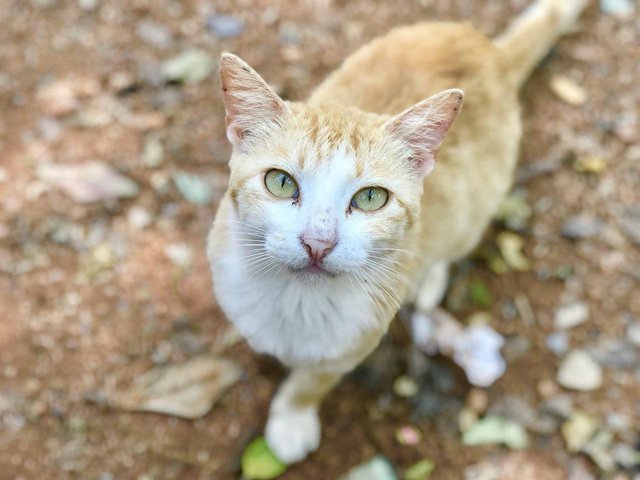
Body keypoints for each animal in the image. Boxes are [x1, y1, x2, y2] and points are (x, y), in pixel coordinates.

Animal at [208, 0, 588, 464]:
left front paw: (292, 420)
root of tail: (490, 51)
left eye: (371, 197)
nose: (318, 243)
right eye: (280, 183)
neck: (296, 302)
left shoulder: (353, 345)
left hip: (474, 207)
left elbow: (311, 383)